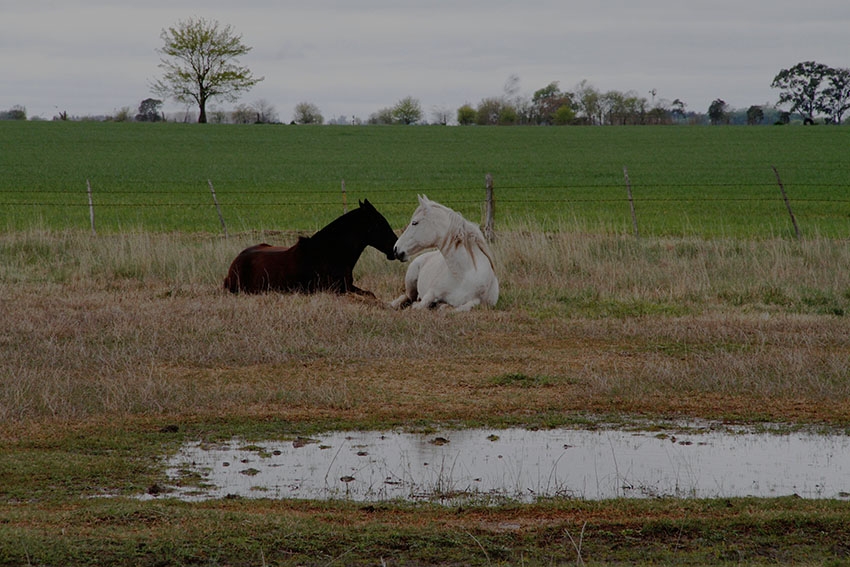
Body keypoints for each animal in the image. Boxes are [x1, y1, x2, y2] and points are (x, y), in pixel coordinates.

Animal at [225, 200, 398, 296]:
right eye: (380, 224)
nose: (396, 248)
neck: (331, 254)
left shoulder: (347, 286)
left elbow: (371, 294)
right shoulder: (334, 290)